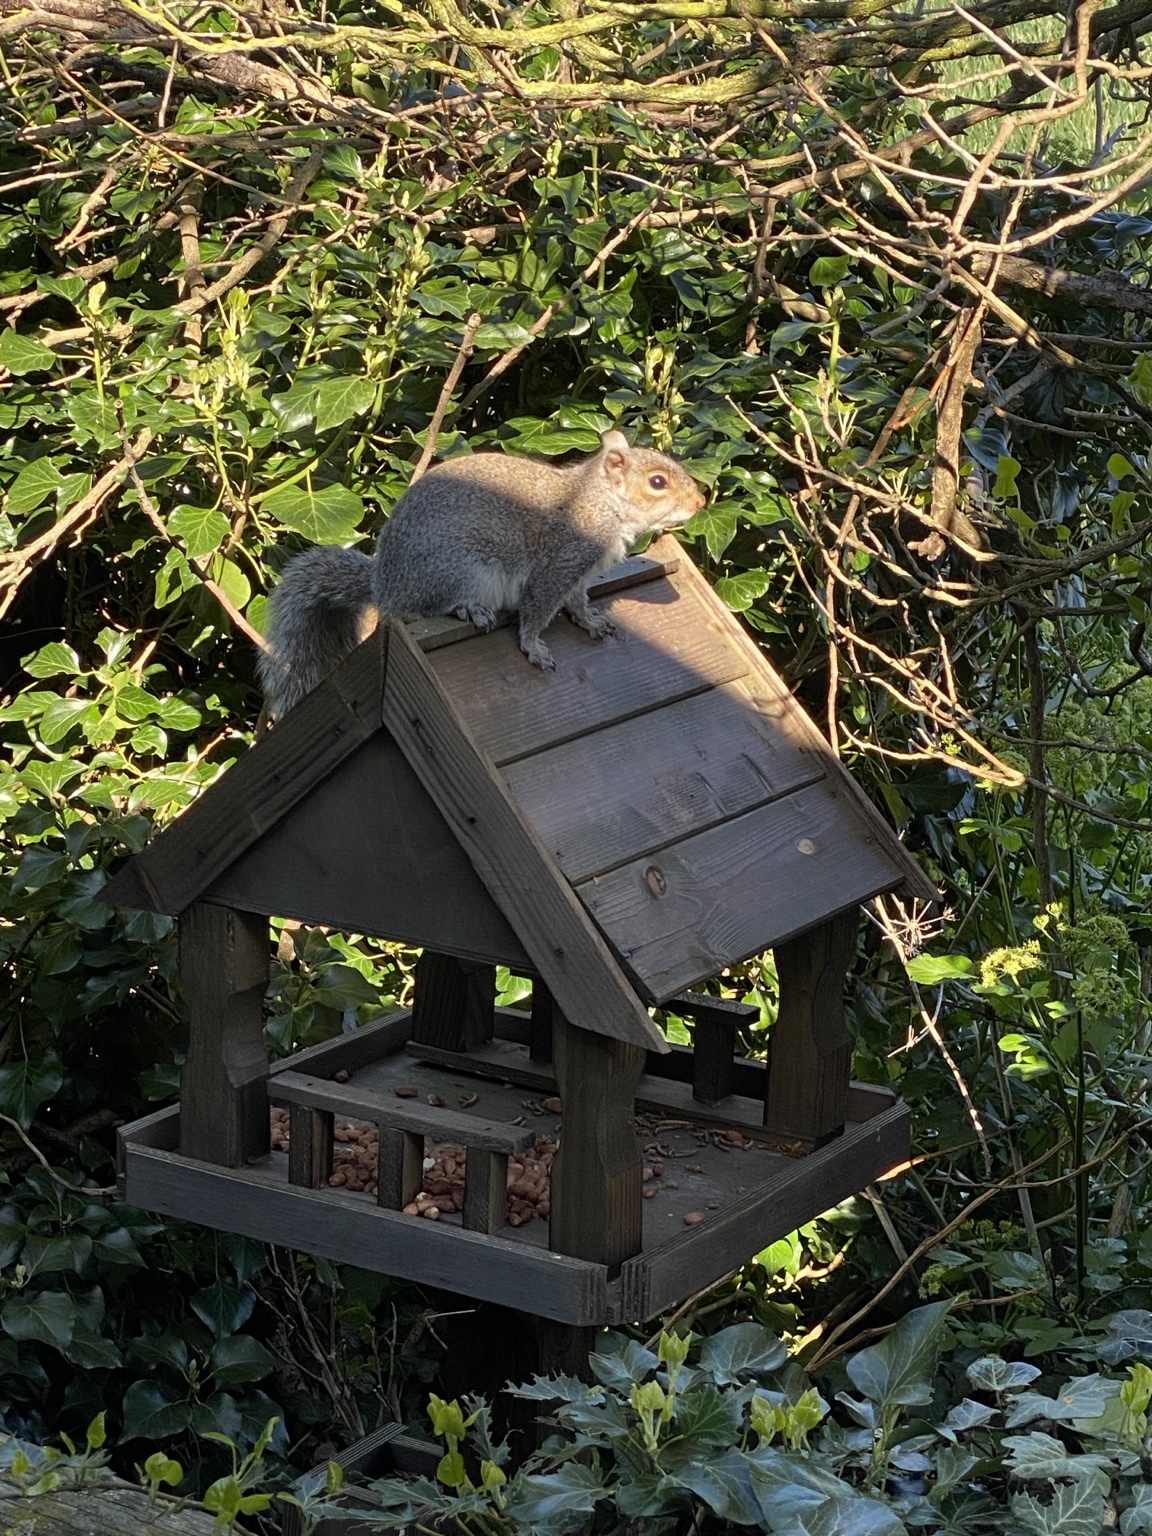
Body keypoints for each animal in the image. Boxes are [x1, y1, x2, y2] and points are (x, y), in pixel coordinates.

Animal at [257, 429, 704, 717]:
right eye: (657, 482)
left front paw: (592, 620)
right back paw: (468, 609)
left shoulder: (577, 574)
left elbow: (577, 602)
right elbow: (537, 610)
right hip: (458, 569)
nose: (701, 502)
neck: (597, 503)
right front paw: (533, 646)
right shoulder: (557, 565)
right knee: (421, 610)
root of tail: (384, 584)